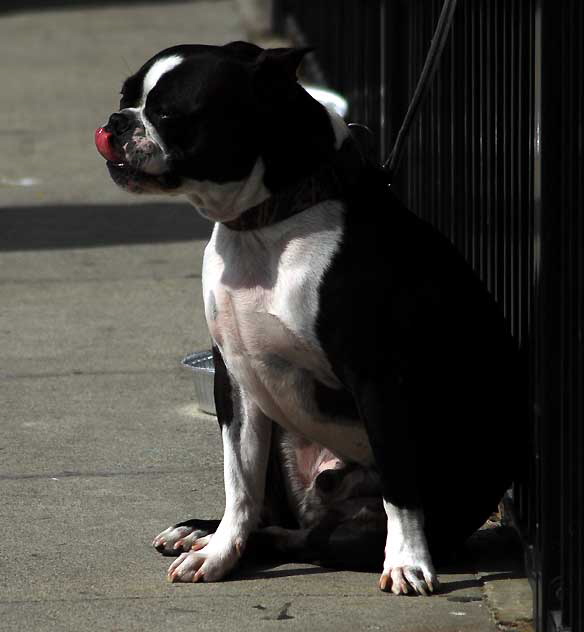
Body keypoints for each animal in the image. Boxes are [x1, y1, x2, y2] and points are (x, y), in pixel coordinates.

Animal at [97, 42, 524, 596]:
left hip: (367, 524)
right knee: (269, 515)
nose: (117, 121)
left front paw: (407, 562)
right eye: (125, 97)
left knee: (308, 538)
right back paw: (200, 533)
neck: (268, 223)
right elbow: (239, 483)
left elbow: (400, 485)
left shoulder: (378, 381)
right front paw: (218, 553)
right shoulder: (235, 381)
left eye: (168, 113)